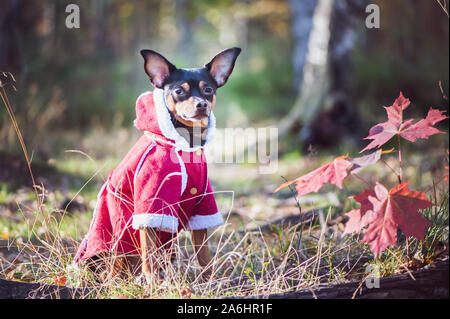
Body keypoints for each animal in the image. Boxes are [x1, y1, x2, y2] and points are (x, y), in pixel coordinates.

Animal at [74, 46, 243, 286]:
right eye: (179, 91)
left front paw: (209, 280)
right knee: (115, 269)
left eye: (208, 90)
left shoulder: (202, 203)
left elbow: (203, 254)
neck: (186, 143)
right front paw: (153, 284)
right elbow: (149, 255)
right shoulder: (151, 205)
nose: (201, 104)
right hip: (114, 246)